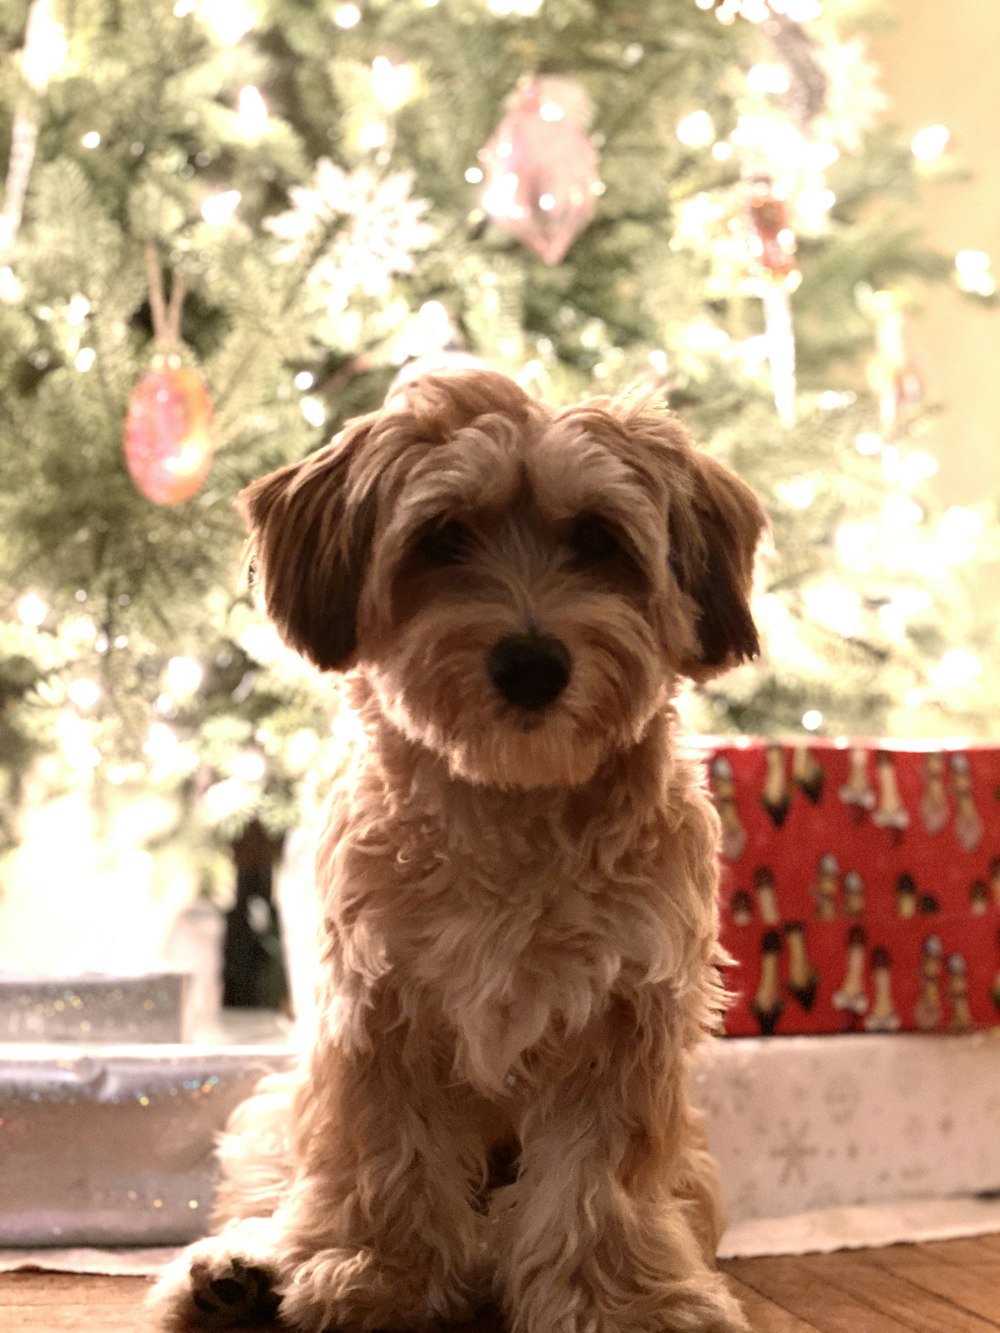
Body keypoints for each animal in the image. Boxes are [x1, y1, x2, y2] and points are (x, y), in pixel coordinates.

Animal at [152, 367, 768, 1333]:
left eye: (599, 539)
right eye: (443, 536)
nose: (532, 663)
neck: (509, 806)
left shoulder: (626, 1021)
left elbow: (598, 1181)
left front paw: (621, 1300)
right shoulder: (375, 1013)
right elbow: (385, 1156)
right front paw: (375, 1272)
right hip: (275, 1109)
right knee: (286, 1194)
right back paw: (239, 1270)